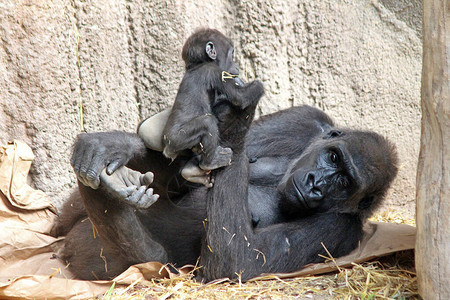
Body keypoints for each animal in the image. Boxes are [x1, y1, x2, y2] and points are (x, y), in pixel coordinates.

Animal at [53, 101, 398, 282]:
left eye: (344, 183)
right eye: (333, 157)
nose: (316, 183)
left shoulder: (340, 228)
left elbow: (238, 262)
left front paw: (235, 124)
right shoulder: (306, 119)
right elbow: (183, 167)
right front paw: (116, 145)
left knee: (145, 260)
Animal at [162, 28, 262, 188]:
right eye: (232, 54)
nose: (237, 66)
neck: (198, 64)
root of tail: (166, 149)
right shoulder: (214, 71)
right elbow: (240, 97)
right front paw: (258, 85)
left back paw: (192, 171)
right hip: (176, 139)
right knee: (207, 123)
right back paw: (209, 163)